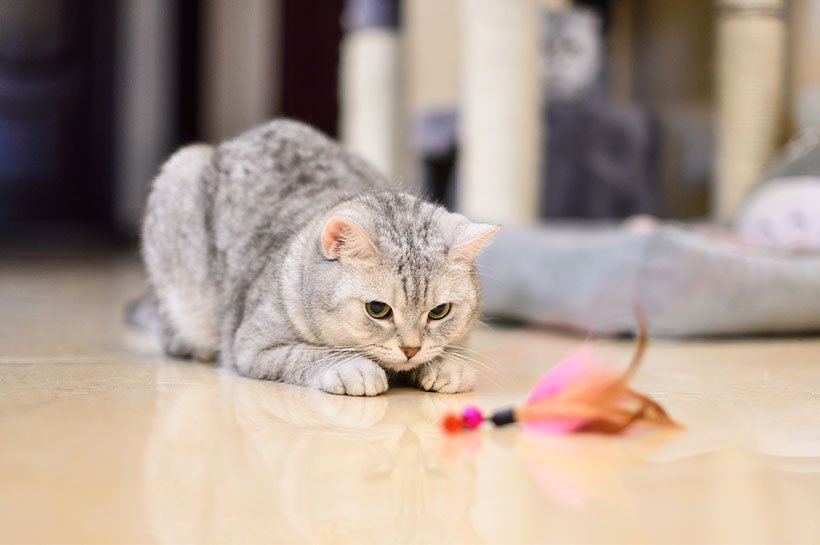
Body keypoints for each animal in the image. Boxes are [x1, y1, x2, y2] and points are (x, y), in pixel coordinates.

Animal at [137, 120, 496, 396]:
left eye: (439, 312)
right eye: (377, 309)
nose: (411, 350)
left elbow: (452, 350)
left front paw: (448, 366)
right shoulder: (255, 346)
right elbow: (308, 355)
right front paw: (354, 369)